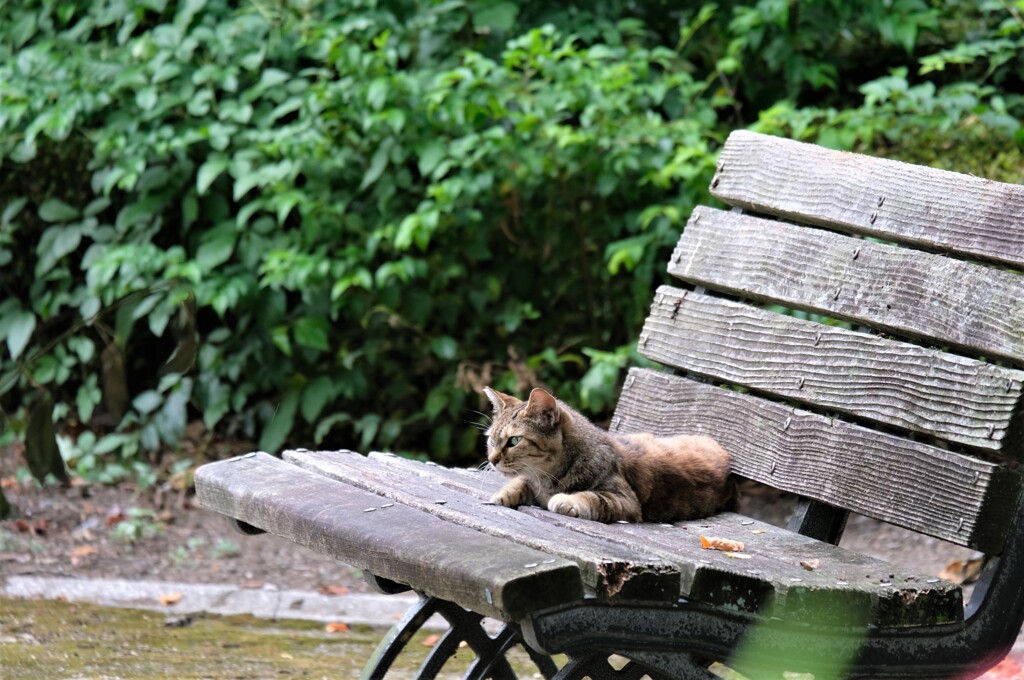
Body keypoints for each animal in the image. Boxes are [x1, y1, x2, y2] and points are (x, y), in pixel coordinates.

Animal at [481, 385, 737, 522]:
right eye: (491, 440)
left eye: (514, 440)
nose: (491, 460)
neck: (547, 479)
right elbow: (520, 482)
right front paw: (505, 493)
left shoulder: (626, 501)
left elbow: (593, 498)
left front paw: (566, 500)